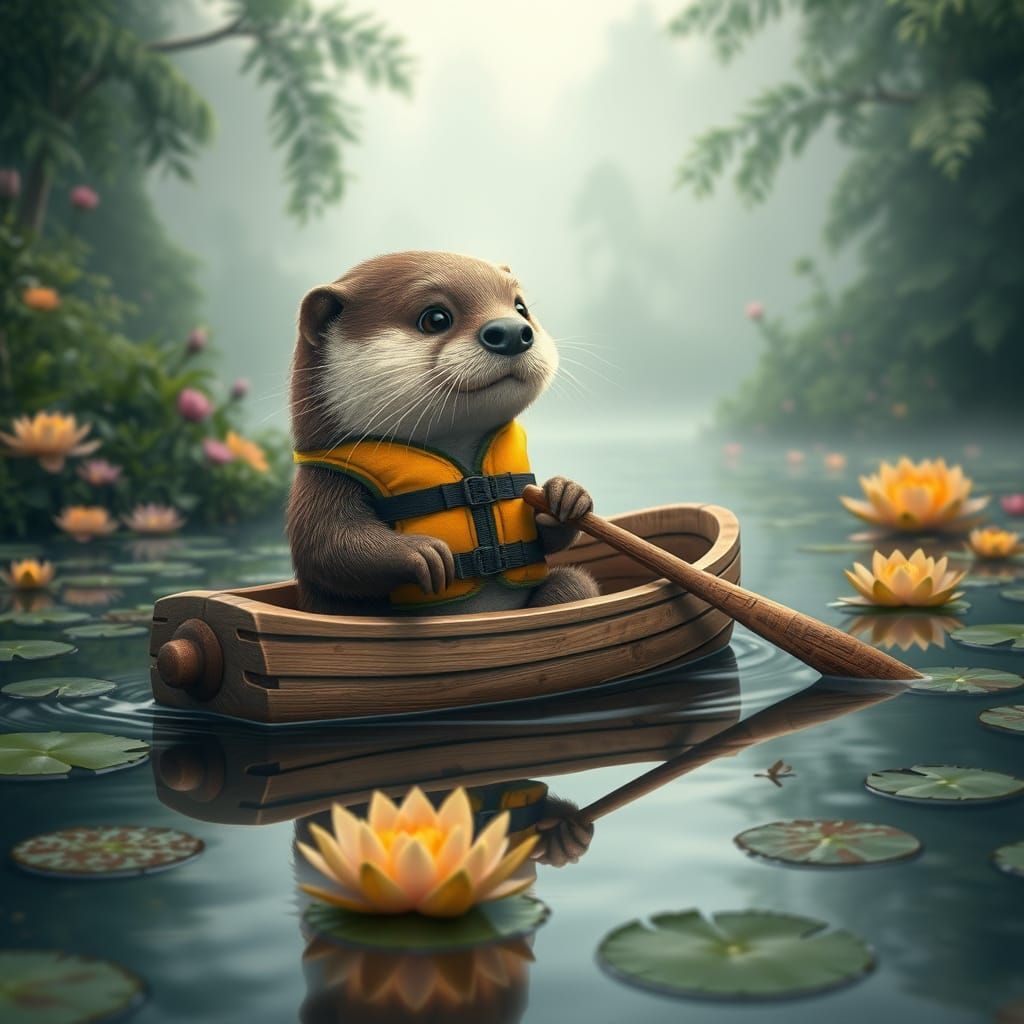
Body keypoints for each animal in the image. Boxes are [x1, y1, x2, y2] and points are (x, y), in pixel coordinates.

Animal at [287, 251, 599, 615]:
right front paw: (422, 553)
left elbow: (546, 537)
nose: (512, 331)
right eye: (435, 318)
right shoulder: (323, 482)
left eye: (521, 308)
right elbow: (328, 545)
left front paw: (566, 494)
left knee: (572, 584)